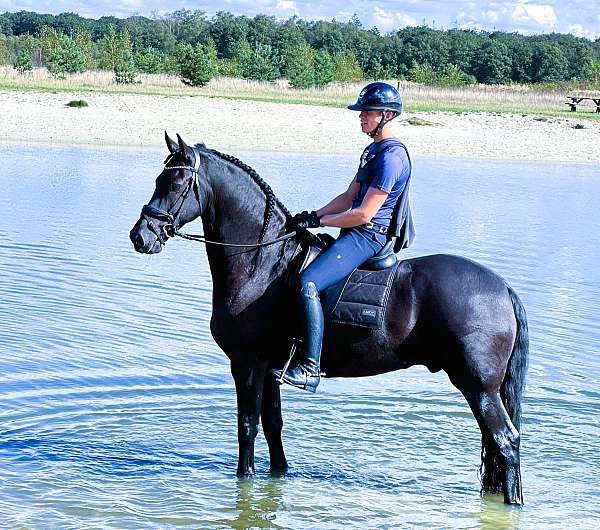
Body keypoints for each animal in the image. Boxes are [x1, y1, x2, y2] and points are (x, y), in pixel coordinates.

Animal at [130, 132, 528, 504]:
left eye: (176, 183)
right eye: (158, 179)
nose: (140, 236)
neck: (262, 262)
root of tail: (503, 288)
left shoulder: (246, 363)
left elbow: (247, 427)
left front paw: (245, 479)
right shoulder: (270, 367)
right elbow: (273, 425)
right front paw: (276, 480)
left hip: (478, 387)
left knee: (505, 441)